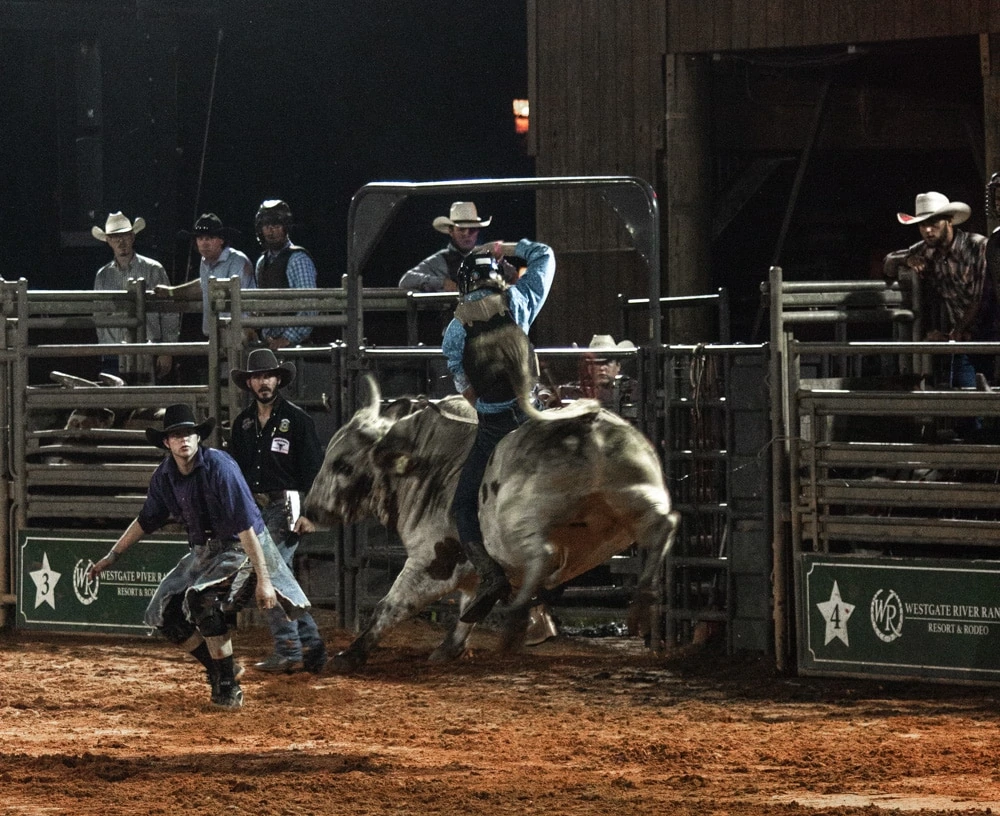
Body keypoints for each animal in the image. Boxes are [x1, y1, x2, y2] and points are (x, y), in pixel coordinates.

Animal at [302, 372, 680, 672]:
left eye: (342, 465)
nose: (309, 511)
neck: (430, 463)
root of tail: (589, 431)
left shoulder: (432, 560)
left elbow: (390, 606)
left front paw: (349, 656)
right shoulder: (475, 574)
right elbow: (469, 609)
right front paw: (448, 649)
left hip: (520, 522)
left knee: (542, 555)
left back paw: (517, 622)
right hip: (635, 493)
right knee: (664, 525)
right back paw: (644, 600)